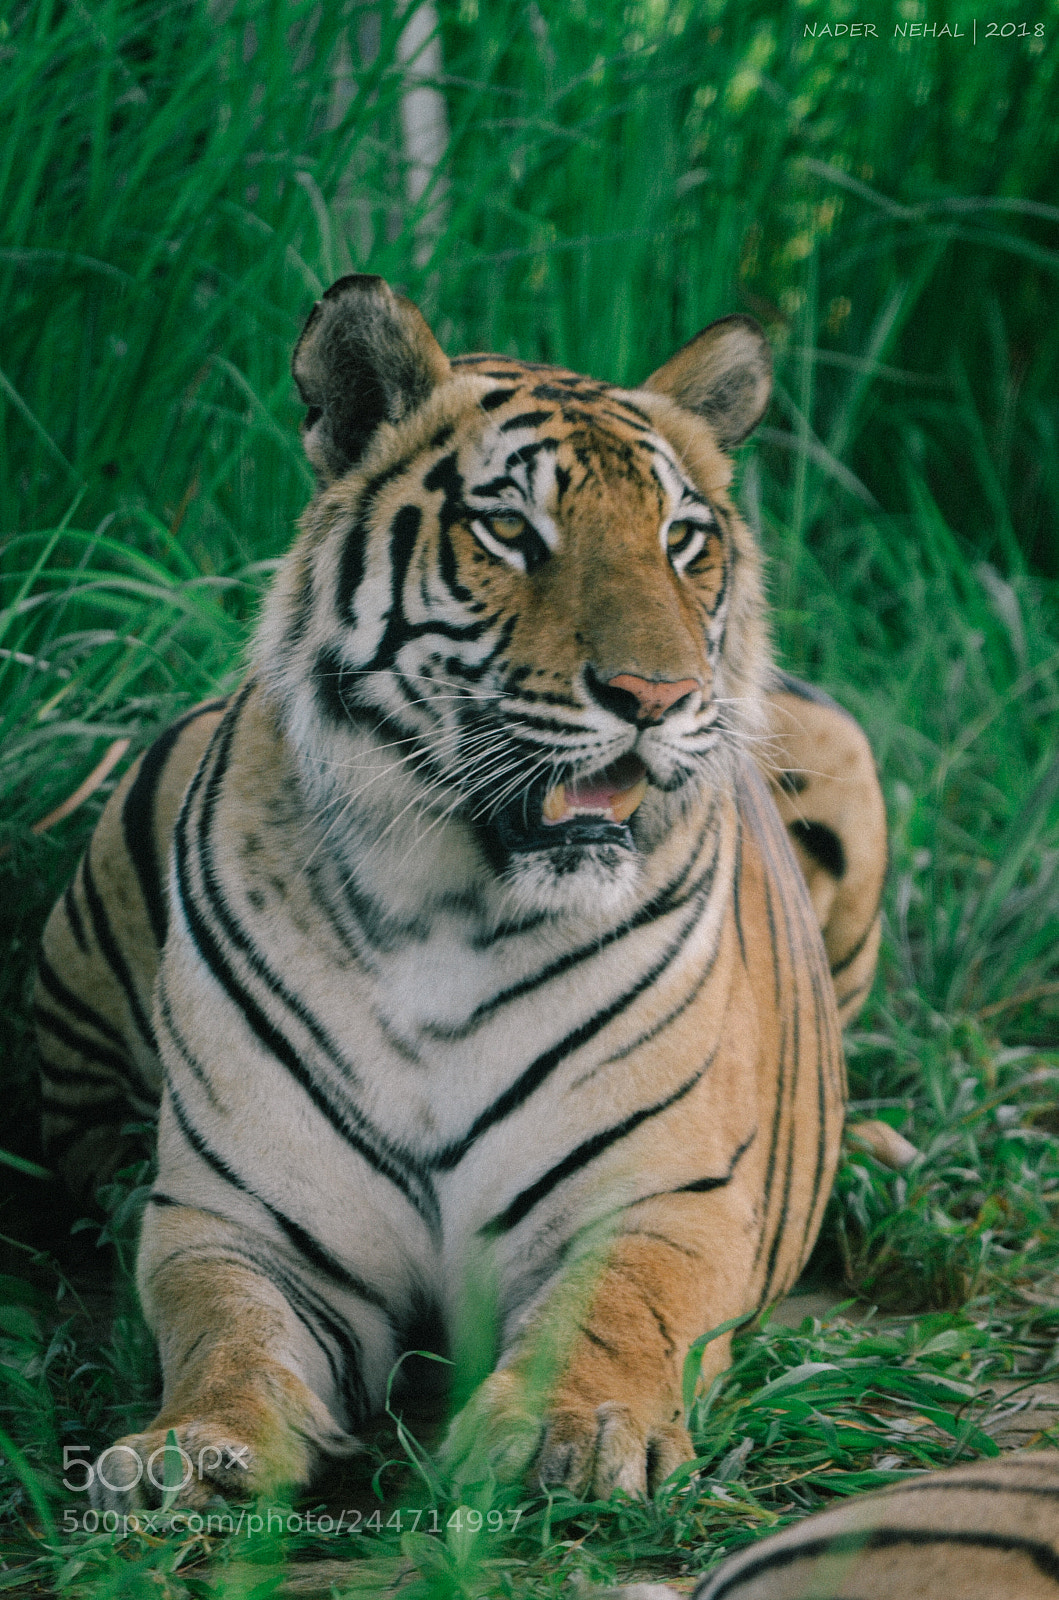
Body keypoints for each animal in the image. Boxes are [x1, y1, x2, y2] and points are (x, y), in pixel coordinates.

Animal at [33, 274, 887, 1507]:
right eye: (511, 531)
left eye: (681, 541)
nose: (659, 695)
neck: (448, 904)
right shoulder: (240, 1221)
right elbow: (226, 1337)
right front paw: (190, 1451)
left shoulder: (659, 1200)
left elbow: (611, 1314)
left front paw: (565, 1434)